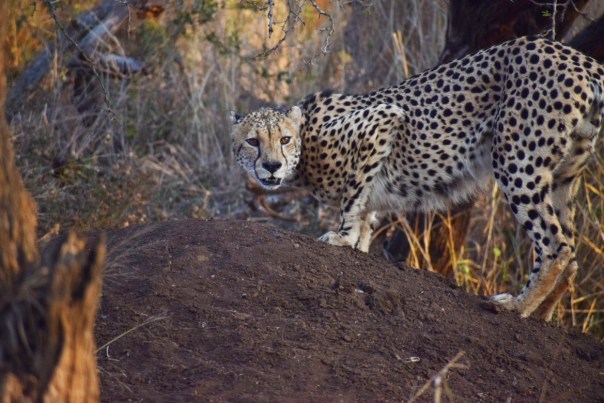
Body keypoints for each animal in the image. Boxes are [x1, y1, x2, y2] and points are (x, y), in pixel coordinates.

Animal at [231, 38, 604, 322]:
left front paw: (342, 237)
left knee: (556, 245)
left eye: (284, 140)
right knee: (571, 251)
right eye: (253, 141)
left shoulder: (382, 119)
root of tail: (578, 57)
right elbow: (365, 213)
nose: (272, 167)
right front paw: (359, 245)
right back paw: (542, 315)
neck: (307, 142)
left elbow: (352, 198)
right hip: (562, 175)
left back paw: (516, 306)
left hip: (516, 160)